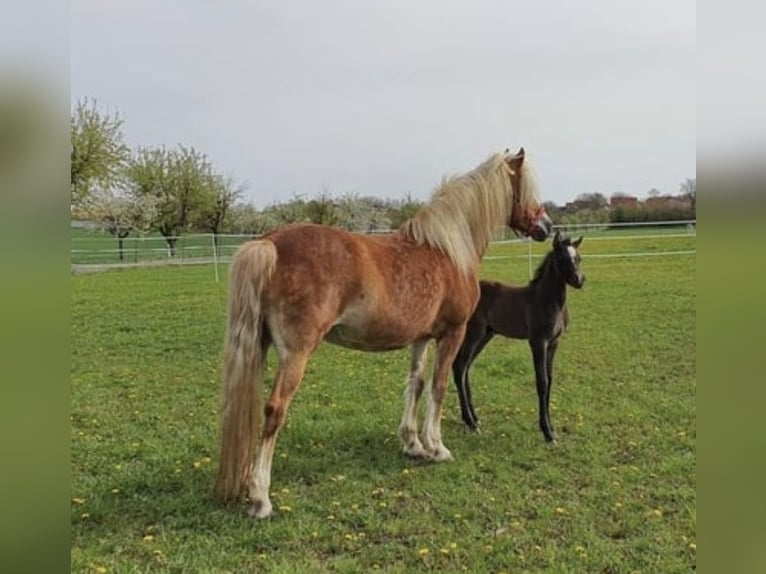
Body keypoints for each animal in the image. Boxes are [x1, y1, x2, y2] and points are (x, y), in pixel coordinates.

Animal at [216, 147, 552, 516]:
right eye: (525, 188)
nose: (547, 226)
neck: (447, 250)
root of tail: (270, 242)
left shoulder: (421, 338)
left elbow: (415, 384)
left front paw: (413, 444)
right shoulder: (452, 333)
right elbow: (439, 386)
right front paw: (437, 447)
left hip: (259, 346)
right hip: (296, 354)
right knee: (274, 410)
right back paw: (261, 498)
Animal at [452, 232, 584, 444]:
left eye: (579, 258)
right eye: (563, 258)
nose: (579, 280)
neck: (546, 300)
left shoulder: (554, 344)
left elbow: (550, 380)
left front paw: (552, 429)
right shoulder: (538, 342)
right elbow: (542, 382)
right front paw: (547, 433)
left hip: (485, 336)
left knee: (465, 369)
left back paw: (474, 418)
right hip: (474, 334)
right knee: (460, 367)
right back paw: (471, 423)